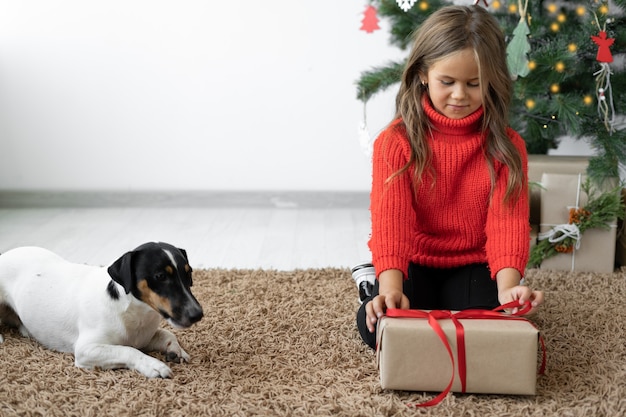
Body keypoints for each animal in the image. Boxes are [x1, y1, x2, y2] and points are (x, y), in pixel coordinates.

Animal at [0, 240, 202, 376]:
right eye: (160, 276)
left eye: (189, 272)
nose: (198, 314)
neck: (132, 312)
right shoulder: (86, 350)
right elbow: (128, 350)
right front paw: (154, 365)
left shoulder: (144, 337)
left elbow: (167, 334)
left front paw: (176, 350)